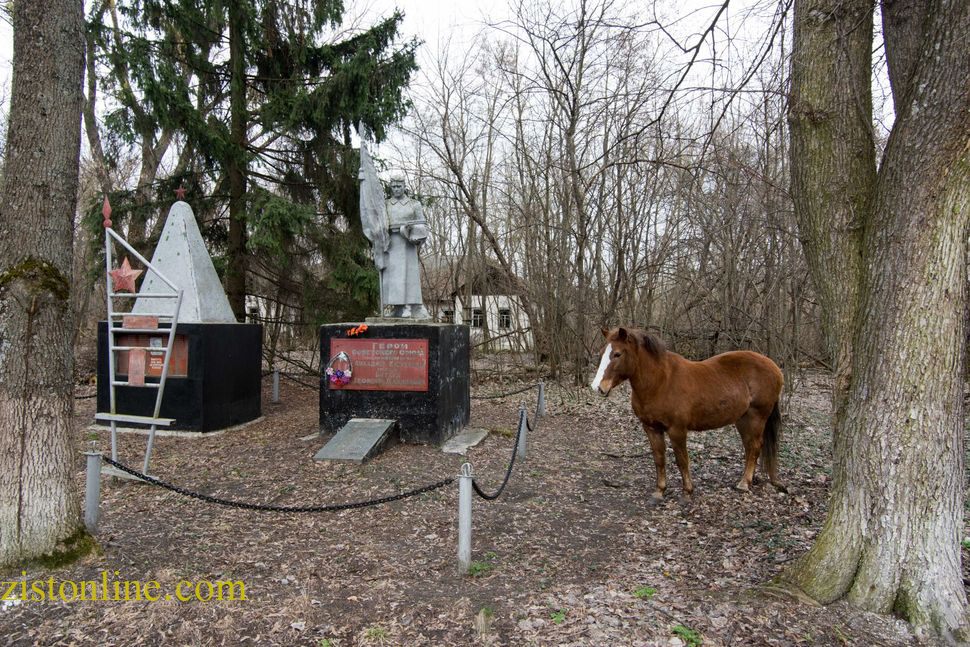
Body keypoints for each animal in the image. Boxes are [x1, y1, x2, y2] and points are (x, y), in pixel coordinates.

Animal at [588, 330, 788, 502]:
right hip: (743, 419)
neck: (660, 382)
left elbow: (682, 460)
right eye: (602, 353)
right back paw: (748, 479)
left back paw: (744, 483)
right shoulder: (651, 428)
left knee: (754, 446)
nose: (597, 387)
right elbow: (659, 458)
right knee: (749, 447)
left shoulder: (677, 430)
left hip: (757, 417)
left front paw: (687, 492)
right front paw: (659, 491)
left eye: (617, 354)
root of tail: (774, 367)